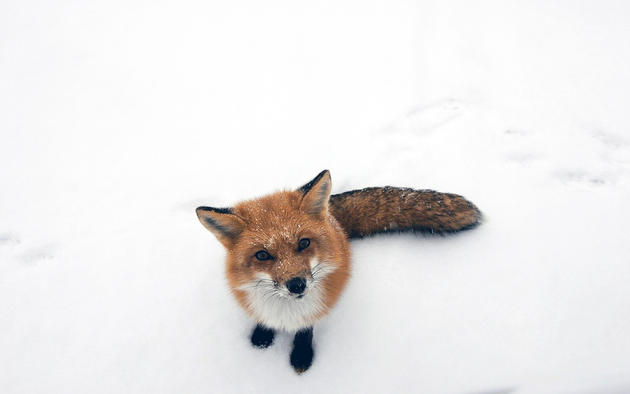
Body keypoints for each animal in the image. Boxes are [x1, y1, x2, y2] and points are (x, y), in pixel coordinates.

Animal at [195, 169, 482, 372]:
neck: (286, 312)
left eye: (304, 243)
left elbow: (306, 329)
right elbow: (262, 320)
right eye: (262, 255)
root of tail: (332, 217)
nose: (297, 285)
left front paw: (301, 354)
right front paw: (262, 336)